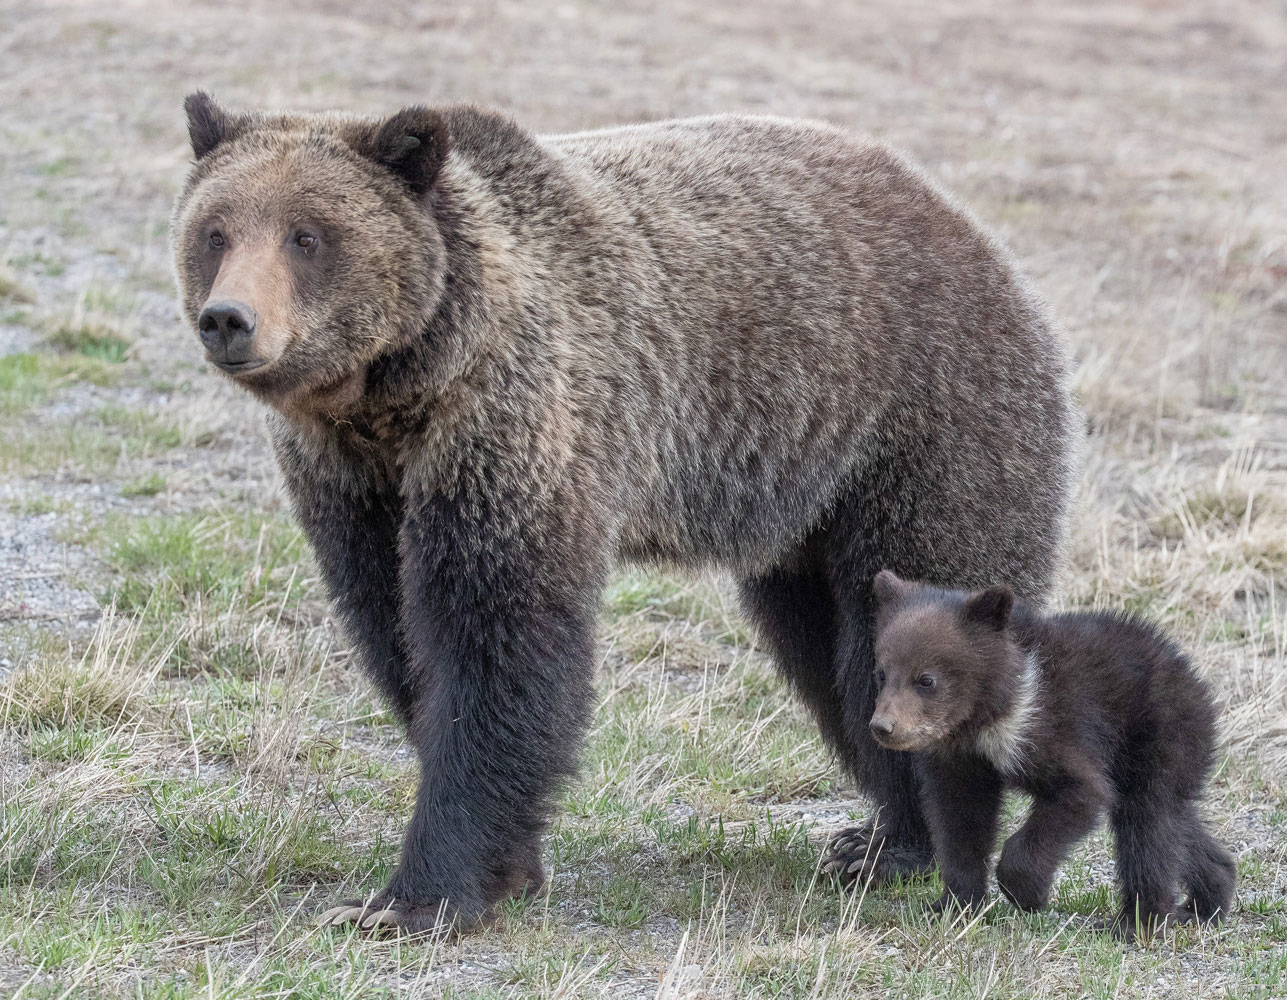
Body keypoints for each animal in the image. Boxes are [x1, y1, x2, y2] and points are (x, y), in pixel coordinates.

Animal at [168, 89, 1075, 931]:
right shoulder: (357, 487)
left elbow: (495, 643)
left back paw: (908, 846)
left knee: (919, 607)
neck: (400, 396)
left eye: (307, 235)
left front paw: (416, 897)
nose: (230, 319)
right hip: (804, 502)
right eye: (215, 231)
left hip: (921, 426)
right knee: (825, 644)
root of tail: (969, 227)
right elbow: (396, 634)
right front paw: (508, 866)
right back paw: (883, 840)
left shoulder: (517, 430)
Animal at [870, 568, 1230, 936]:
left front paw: (1028, 892)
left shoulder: (1052, 728)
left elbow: (1082, 791)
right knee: (1177, 823)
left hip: (1159, 732)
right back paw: (1205, 899)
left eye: (926, 679)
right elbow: (960, 820)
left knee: (1148, 824)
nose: (883, 726)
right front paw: (951, 906)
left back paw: (1136, 922)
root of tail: (1196, 681)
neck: (987, 717)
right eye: (881, 673)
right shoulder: (962, 760)